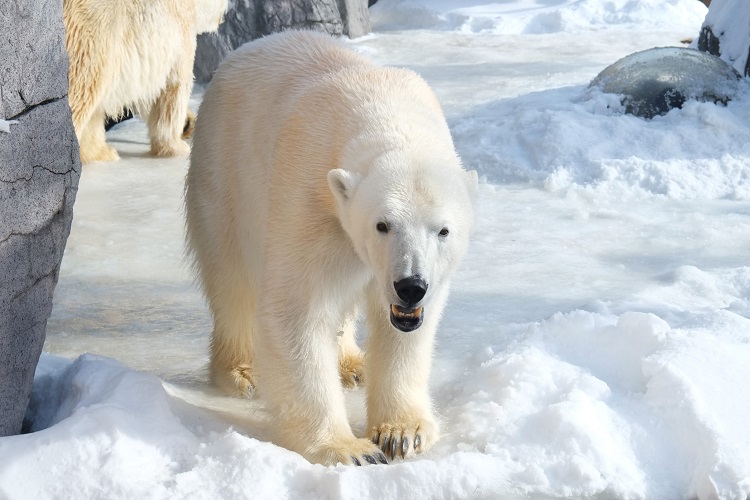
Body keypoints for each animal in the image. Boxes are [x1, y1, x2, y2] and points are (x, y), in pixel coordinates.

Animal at [63, 0, 228, 163]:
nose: (223, 16)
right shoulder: (179, 30)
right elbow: (173, 88)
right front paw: (177, 146)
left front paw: (100, 153)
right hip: (88, 35)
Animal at [185, 30, 478, 464]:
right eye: (382, 225)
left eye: (442, 231)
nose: (410, 286)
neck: (384, 110)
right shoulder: (311, 200)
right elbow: (299, 311)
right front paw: (349, 449)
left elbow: (405, 330)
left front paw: (401, 433)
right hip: (225, 173)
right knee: (232, 280)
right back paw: (243, 371)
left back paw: (353, 365)